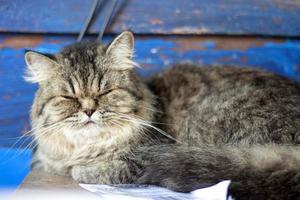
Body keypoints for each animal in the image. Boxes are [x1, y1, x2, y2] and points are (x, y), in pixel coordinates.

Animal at [24, 30, 300, 198]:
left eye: (106, 92)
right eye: (69, 98)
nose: (89, 110)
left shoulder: (145, 156)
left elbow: (93, 171)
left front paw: (79, 170)